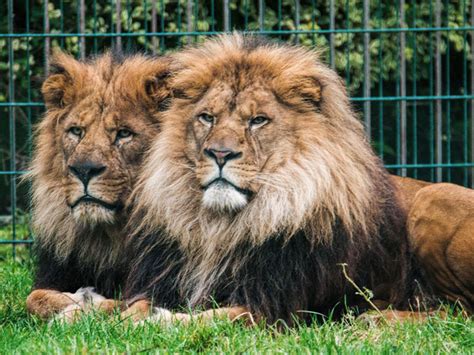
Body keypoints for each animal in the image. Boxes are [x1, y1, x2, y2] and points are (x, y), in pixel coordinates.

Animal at [25, 50, 172, 320]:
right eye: (76, 131)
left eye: (124, 133)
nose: (84, 170)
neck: (109, 238)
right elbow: (33, 298)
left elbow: (121, 306)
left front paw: (85, 307)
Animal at [122, 34, 426, 326]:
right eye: (207, 117)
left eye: (258, 120)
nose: (220, 154)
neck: (218, 228)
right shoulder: (161, 281)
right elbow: (131, 309)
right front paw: (126, 319)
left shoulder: (277, 309)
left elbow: (214, 318)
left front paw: (162, 320)